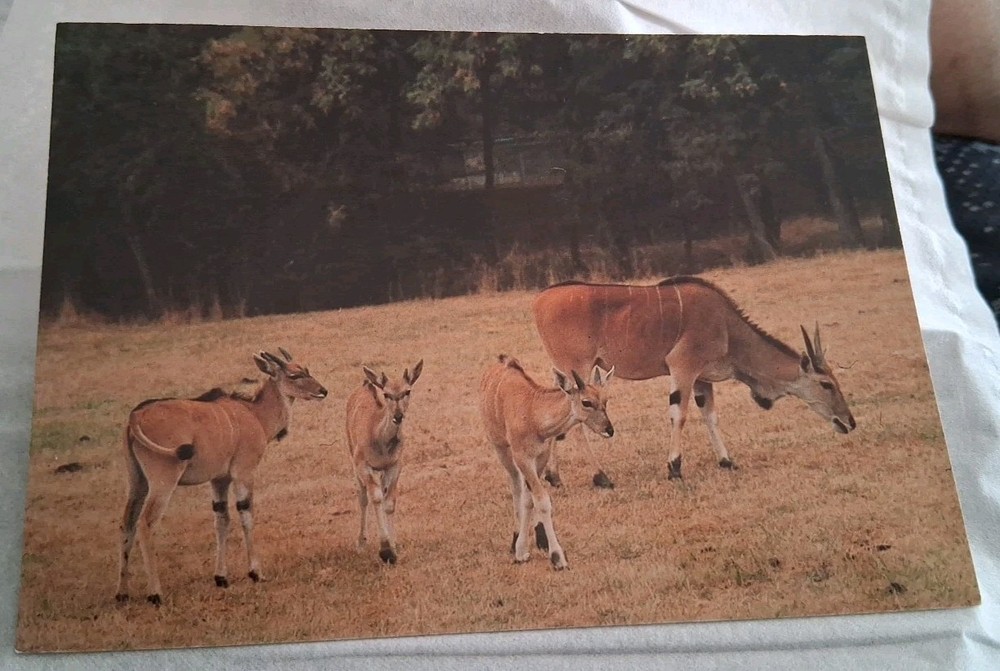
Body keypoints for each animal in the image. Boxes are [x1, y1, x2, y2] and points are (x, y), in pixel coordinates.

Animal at [115, 349, 327, 606]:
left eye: (306, 370)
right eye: (295, 375)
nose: (323, 391)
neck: (254, 414)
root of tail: (136, 416)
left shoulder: (219, 480)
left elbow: (221, 520)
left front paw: (221, 577)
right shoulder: (243, 472)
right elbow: (246, 514)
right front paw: (256, 572)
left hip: (137, 482)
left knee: (127, 523)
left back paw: (122, 593)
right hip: (162, 481)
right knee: (145, 524)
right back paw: (155, 593)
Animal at [346, 360, 423, 565]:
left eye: (407, 391)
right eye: (387, 394)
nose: (398, 416)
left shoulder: (394, 466)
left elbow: (389, 503)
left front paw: (393, 547)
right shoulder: (363, 466)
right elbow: (376, 498)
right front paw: (385, 550)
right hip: (353, 459)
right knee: (363, 497)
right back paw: (361, 542)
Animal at [479, 354, 614, 570]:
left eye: (605, 400)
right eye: (586, 402)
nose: (609, 430)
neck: (533, 414)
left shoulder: (540, 458)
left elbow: (530, 500)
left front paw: (527, 547)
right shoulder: (523, 458)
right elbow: (541, 500)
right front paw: (557, 557)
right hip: (501, 449)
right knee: (515, 486)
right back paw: (515, 537)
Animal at [533, 277, 856, 486]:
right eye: (827, 384)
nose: (850, 422)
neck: (727, 328)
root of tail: (539, 300)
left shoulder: (702, 379)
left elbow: (710, 416)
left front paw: (726, 461)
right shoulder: (683, 368)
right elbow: (680, 415)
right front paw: (674, 467)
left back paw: (554, 477)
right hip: (579, 368)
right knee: (576, 420)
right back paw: (601, 477)